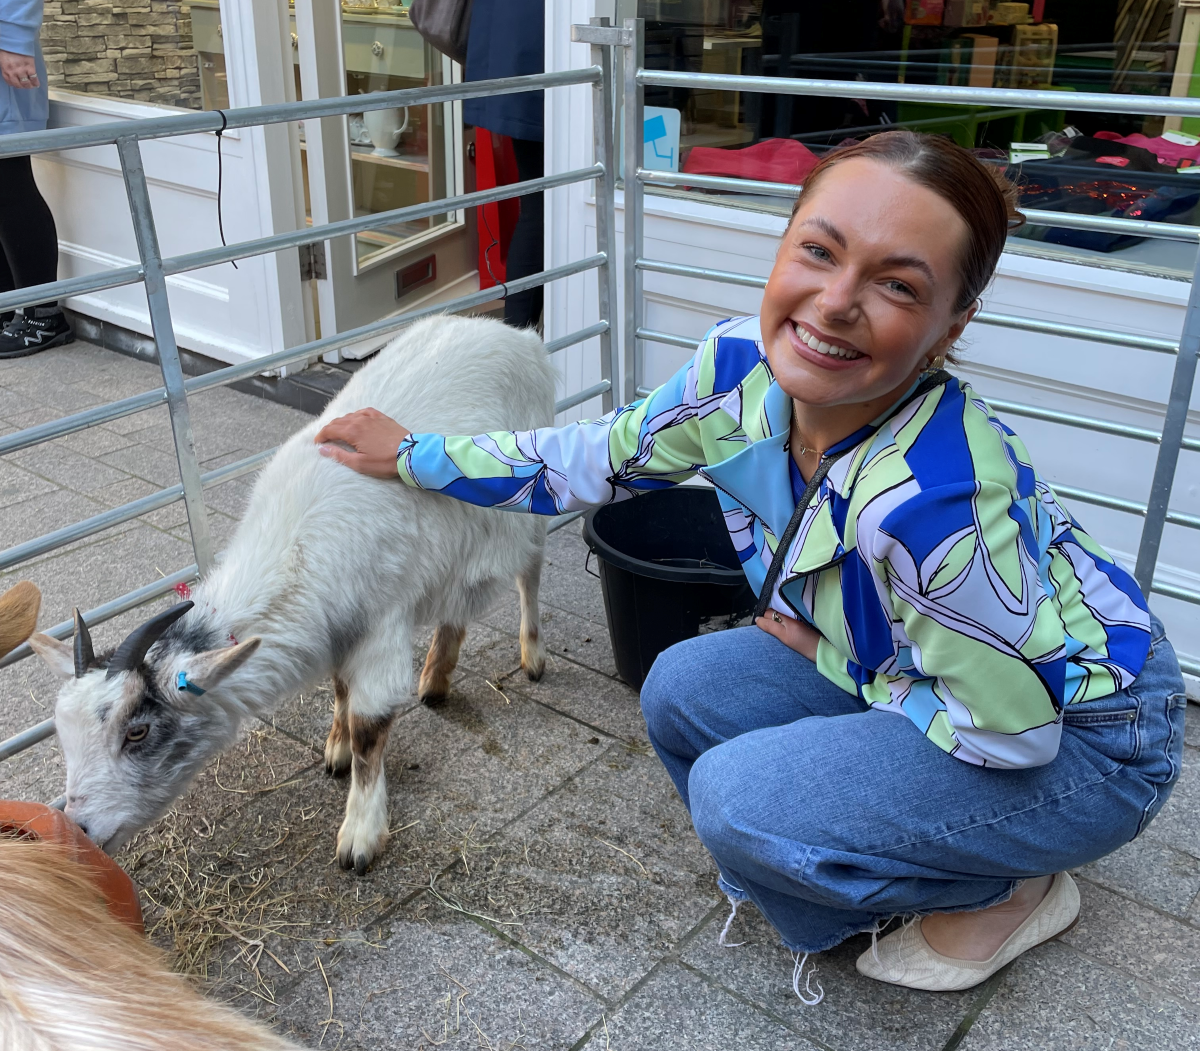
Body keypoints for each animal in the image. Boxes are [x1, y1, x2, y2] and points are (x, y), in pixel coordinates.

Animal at [29, 315, 554, 874]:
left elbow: (371, 725)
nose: (80, 830)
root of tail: (515, 334)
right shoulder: (336, 629)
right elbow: (341, 691)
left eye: (137, 732)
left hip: (530, 495)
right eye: (63, 733)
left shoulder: (381, 628)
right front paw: (336, 750)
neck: (295, 553)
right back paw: (435, 679)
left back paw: (533, 656)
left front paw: (360, 836)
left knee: (530, 573)